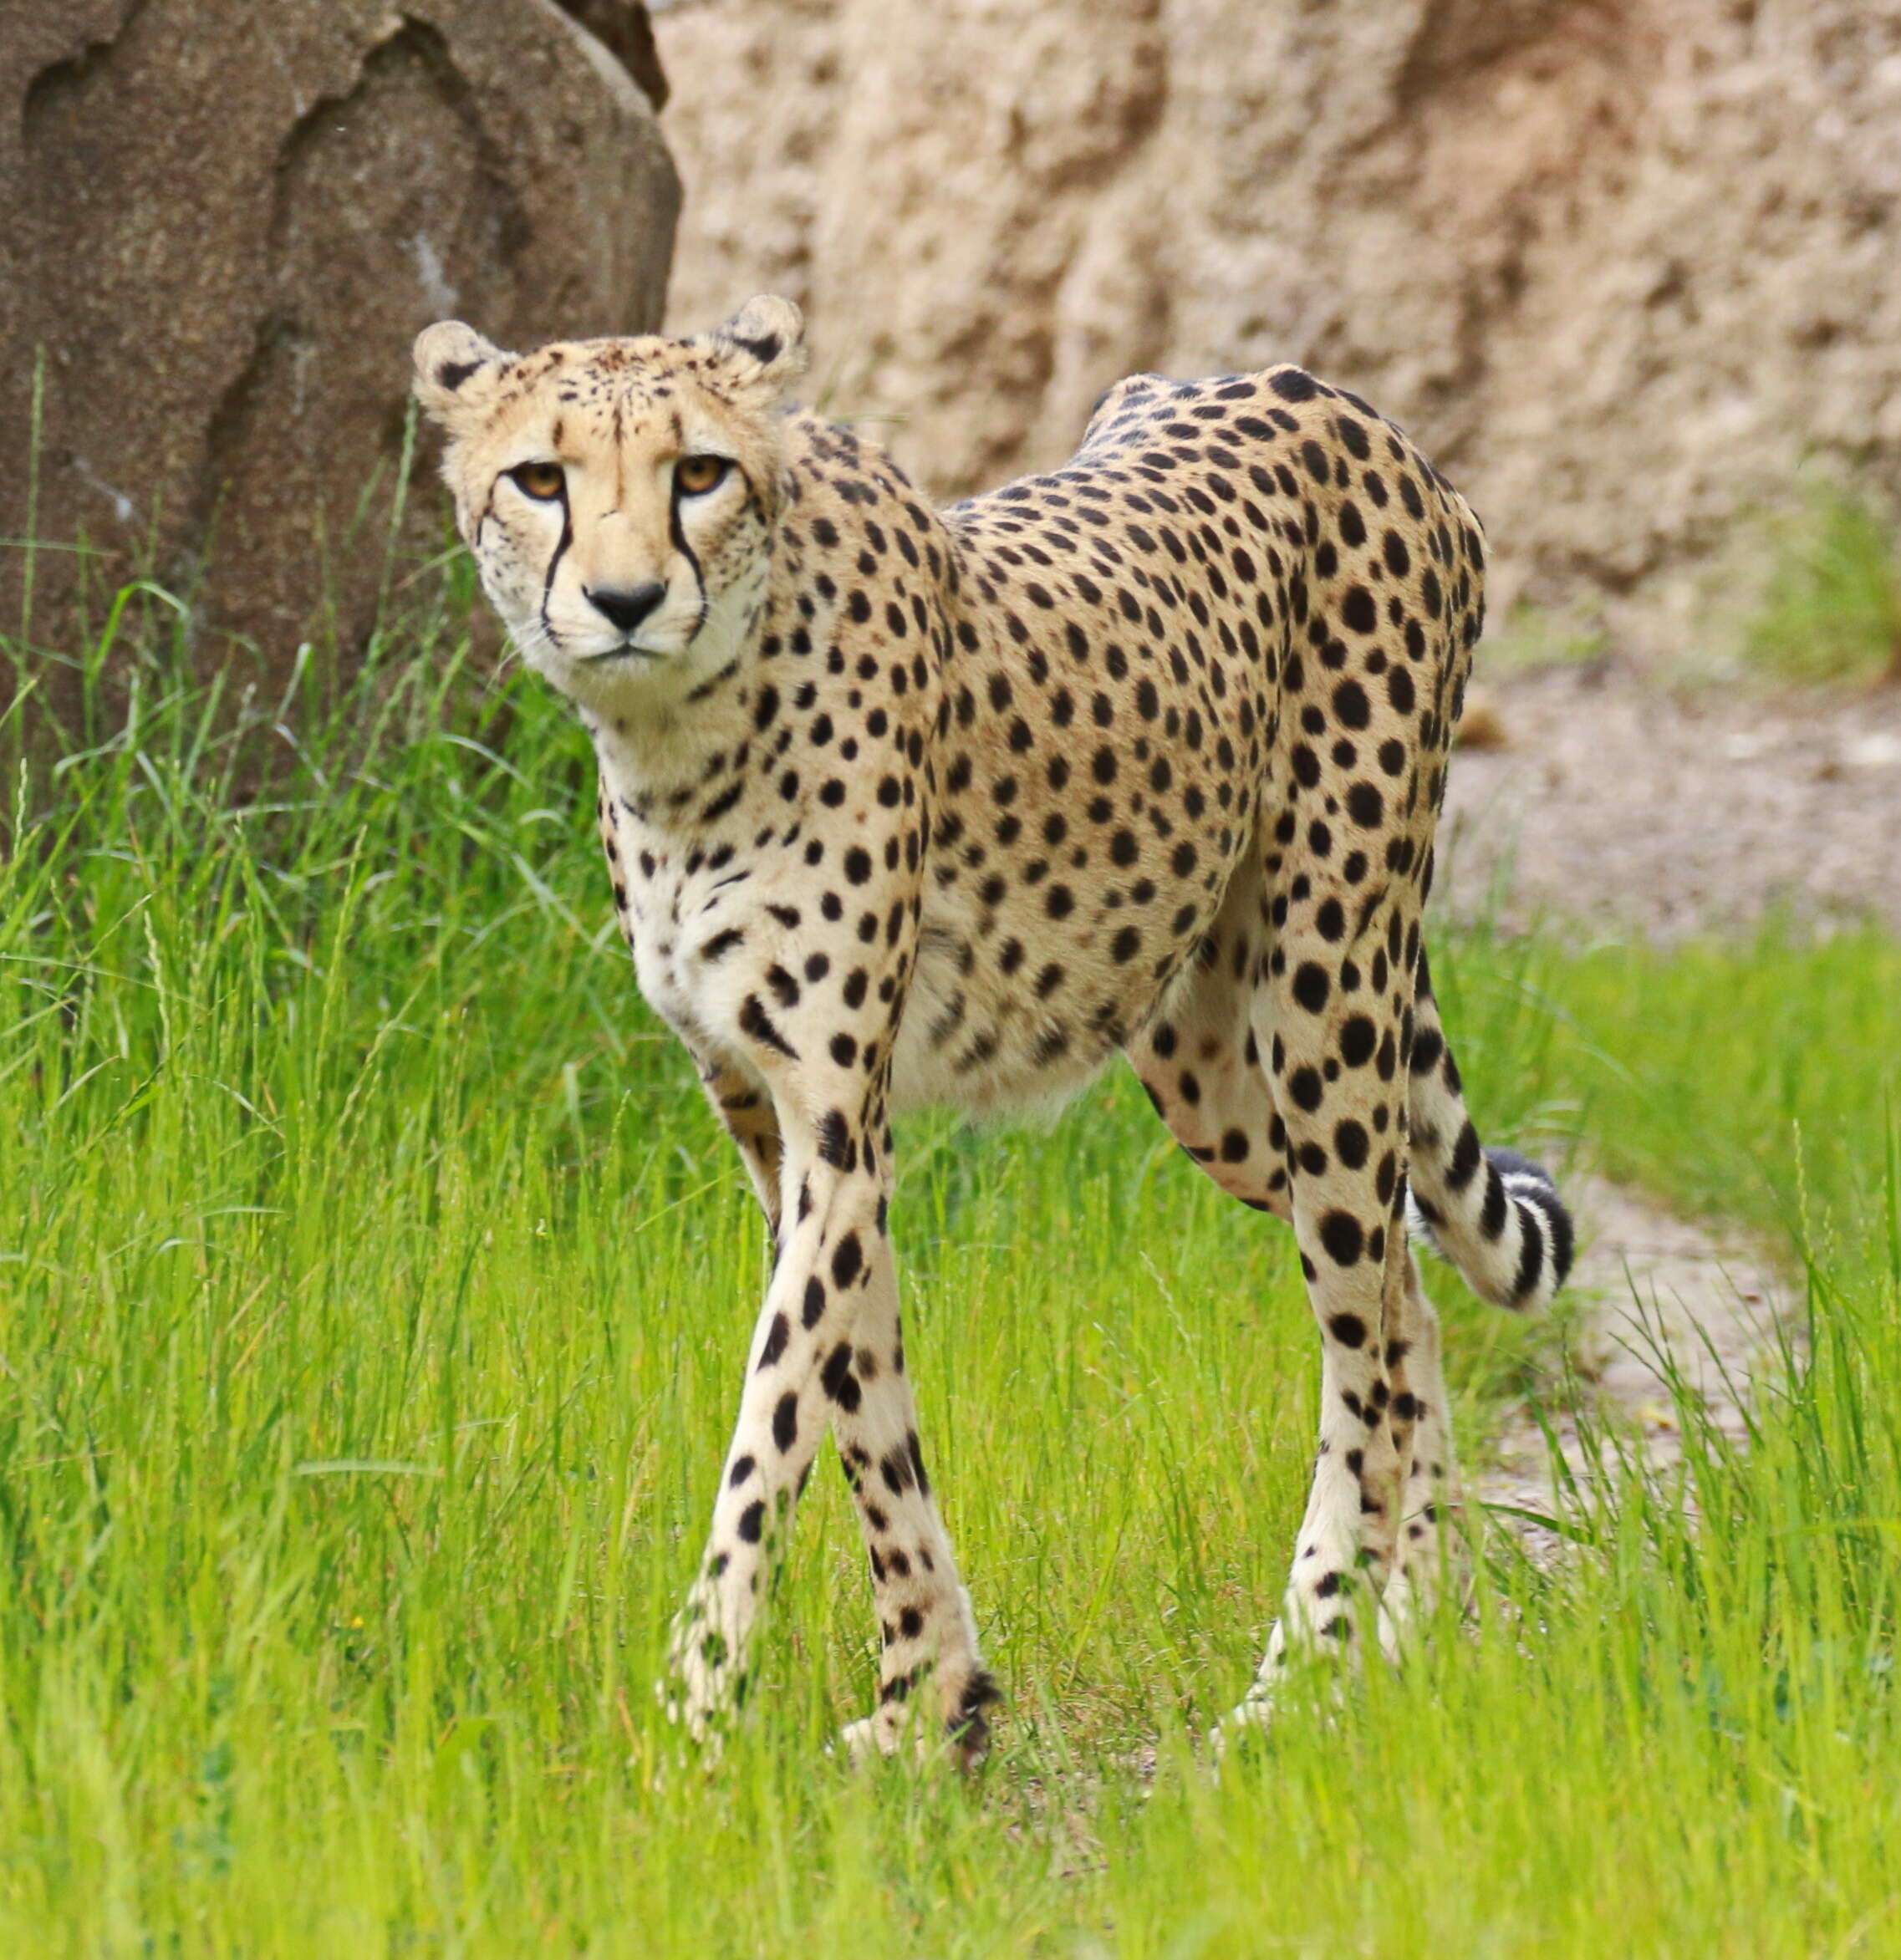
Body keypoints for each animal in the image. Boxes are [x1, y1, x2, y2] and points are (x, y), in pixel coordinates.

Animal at [411, 293, 1567, 1764]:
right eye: (540, 479)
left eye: (699, 472)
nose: (623, 603)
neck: (683, 734)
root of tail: (1335, 399)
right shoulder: (775, 1124)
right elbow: (862, 1396)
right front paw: (928, 1699)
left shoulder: (838, 1124)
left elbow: (770, 1425)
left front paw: (692, 1710)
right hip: (1208, 1069)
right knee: (1404, 1288)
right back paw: (1407, 1633)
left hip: (1329, 997)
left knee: (1360, 1335)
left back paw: (1303, 1668)